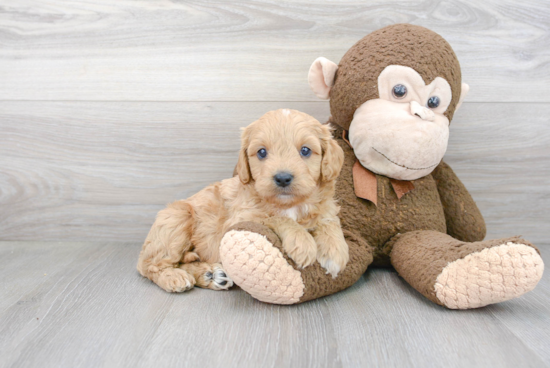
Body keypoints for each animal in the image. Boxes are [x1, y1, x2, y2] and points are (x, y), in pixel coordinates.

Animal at [136, 109, 348, 294]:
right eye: (262, 152)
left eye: (305, 150)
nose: (282, 178)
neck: (289, 205)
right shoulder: (241, 218)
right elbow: (276, 218)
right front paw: (302, 241)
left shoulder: (325, 207)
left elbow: (328, 221)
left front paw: (335, 250)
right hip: (177, 218)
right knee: (149, 265)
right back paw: (174, 277)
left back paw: (211, 275)